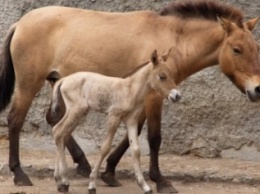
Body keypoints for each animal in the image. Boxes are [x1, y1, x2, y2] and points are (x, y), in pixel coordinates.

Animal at [50, 49, 181, 193]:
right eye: (162, 76)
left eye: (172, 75)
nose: (177, 96)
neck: (130, 90)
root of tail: (63, 80)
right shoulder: (114, 116)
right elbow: (105, 147)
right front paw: (92, 184)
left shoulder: (131, 120)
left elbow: (136, 150)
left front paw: (144, 186)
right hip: (76, 110)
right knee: (59, 132)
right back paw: (64, 181)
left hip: (78, 112)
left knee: (59, 132)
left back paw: (60, 181)